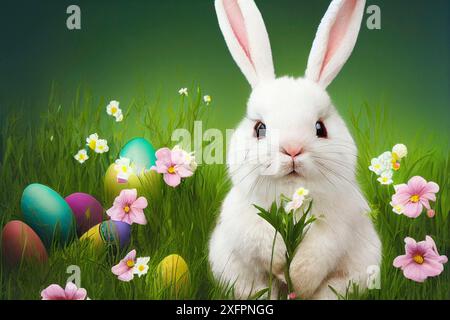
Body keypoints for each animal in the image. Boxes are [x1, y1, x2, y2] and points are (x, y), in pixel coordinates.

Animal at [209, 0, 382, 300]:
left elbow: (313, 258)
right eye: (260, 128)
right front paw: (282, 266)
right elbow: (265, 243)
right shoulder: (247, 221)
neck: (291, 197)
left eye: (320, 128)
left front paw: (297, 280)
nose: (292, 150)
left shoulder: (334, 228)